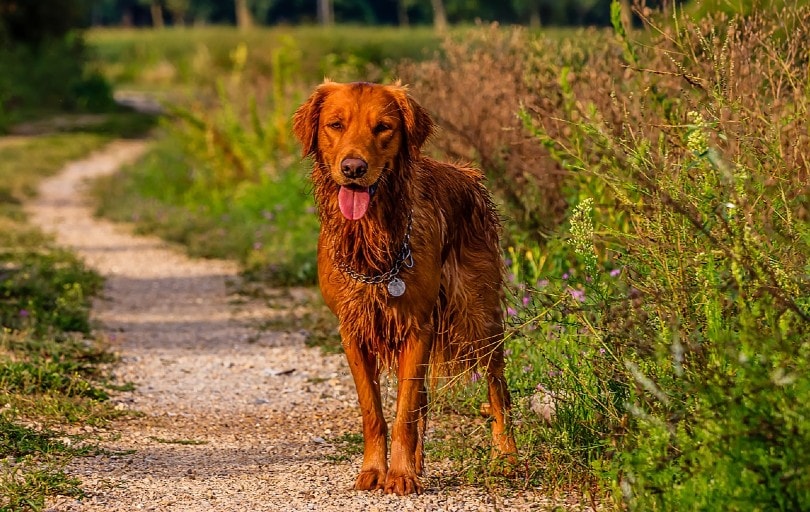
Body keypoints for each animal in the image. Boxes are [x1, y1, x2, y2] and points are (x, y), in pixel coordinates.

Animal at [294, 82, 516, 494]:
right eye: (335, 124)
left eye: (383, 127)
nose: (353, 169)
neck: (371, 240)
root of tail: (468, 174)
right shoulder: (354, 331)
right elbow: (375, 412)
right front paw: (374, 469)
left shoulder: (417, 327)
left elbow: (405, 411)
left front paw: (399, 474)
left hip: (479, 315)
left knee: (498, 389)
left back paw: (507, 456)